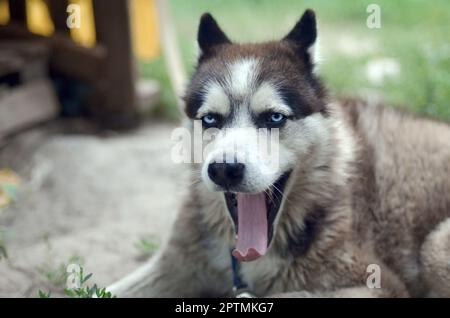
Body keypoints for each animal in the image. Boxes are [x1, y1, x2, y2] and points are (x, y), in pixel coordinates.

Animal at [110, 9, 450, 298]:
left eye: (274, 118)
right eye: (210, 119)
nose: (224, 169)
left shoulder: (376, 284)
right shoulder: (173, 263)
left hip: (435, 247)